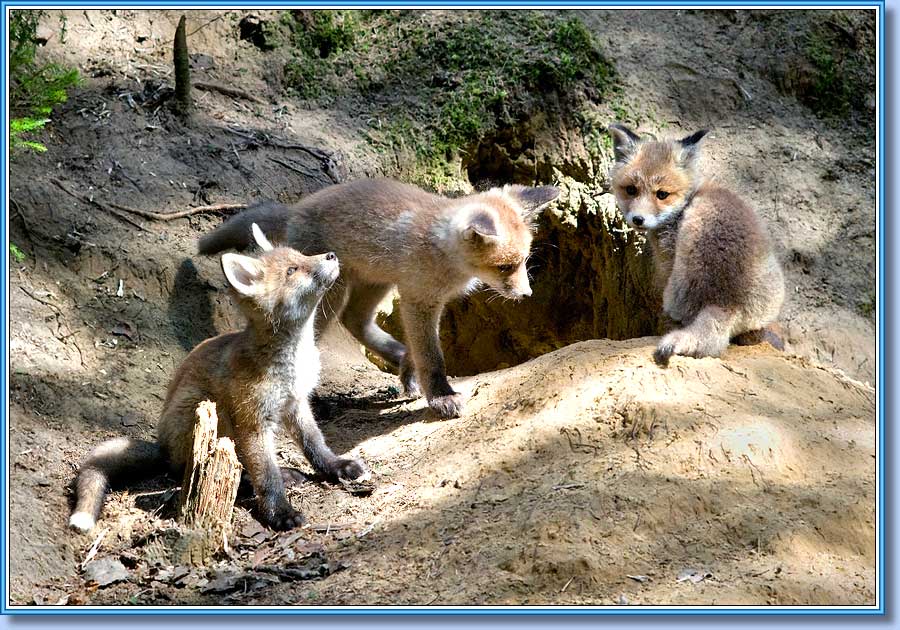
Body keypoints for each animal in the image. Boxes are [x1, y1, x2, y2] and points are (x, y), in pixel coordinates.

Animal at [69, 224, 367, 533]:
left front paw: (337, 467)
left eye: (300, 255)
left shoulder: (297, 403)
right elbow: (267, 476)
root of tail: (162, 447)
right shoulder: (253, 421)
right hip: (210, 413)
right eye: (292, 270)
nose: (331, 255)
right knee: (195, 471)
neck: (293, 363)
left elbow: (315, 445)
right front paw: (280, 512)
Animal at [197, 178, 559, 419]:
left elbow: (418, 348)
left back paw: (395, 355)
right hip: (332, 293)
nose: (526, 294)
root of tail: (296, 209)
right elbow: (431, 355)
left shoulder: (422, 301)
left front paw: (409, 375)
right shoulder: (419, 299)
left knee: (357, 321)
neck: (441, 250)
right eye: (505, 267)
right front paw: (440, 395)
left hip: (376, 283)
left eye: (524, 261)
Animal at [608, 123, 785, 366]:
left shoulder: (668, 261)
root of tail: (724, 300)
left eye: (662, 194)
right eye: (631, 190)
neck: (686, 202)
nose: (638, 219)